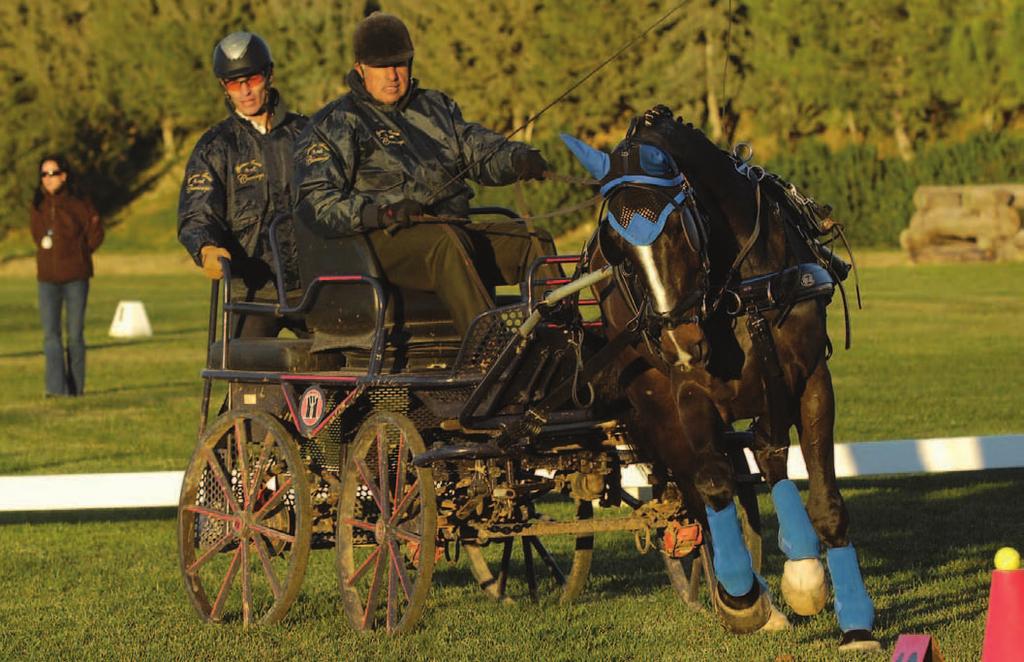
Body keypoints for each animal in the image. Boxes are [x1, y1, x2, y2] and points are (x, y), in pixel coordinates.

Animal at [565, 110, 876, 651]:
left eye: (676, 229)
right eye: (618, 249)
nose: (679, 343)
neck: (740, 292)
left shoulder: (811, 379)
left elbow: (826, 500)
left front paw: (853, 619)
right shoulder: (689, 391)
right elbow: (712, 482)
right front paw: (741, 598)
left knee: (769, 457)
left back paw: (800, 571)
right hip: (659, 405)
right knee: (697, 485)